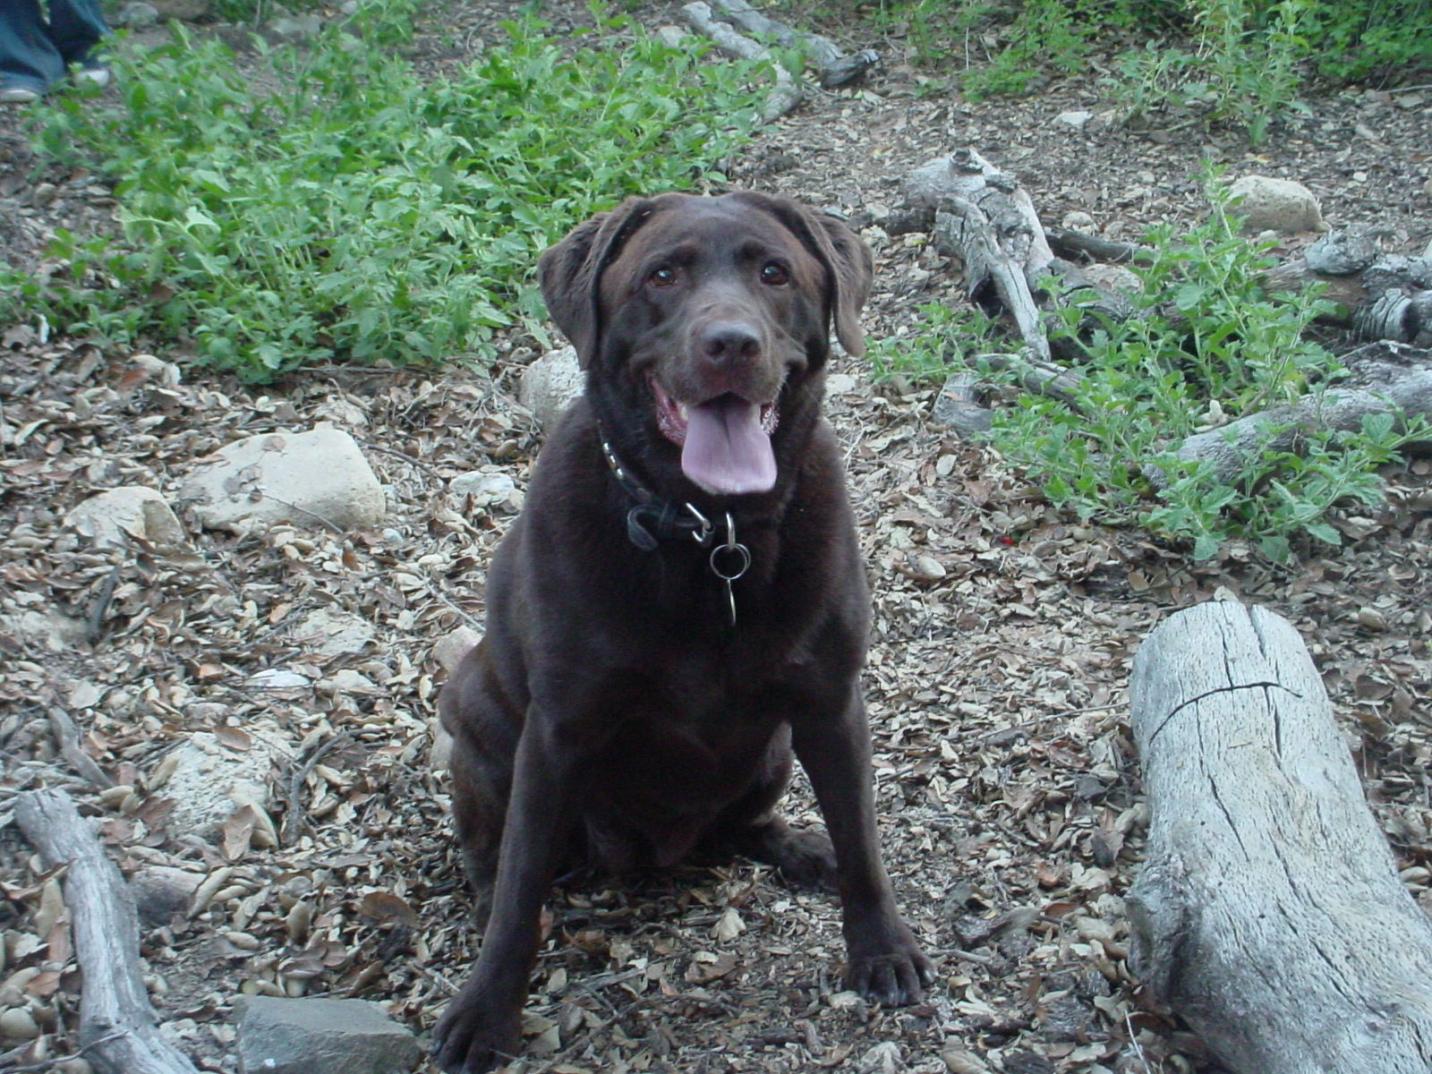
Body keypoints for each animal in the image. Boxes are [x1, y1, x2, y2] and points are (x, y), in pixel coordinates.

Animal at [432, 191, 932, 1073]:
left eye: (774, 272)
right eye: (663, 275)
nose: (731, 342)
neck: (711, 534)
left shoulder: (831, 704)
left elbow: (864, 837)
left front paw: (881, 946)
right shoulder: (556, 733)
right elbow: (520, 888)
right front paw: (486, 1013)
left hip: (772, 750)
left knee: (745, 826)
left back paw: (800, 847)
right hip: (479, 721)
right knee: (492, 855)